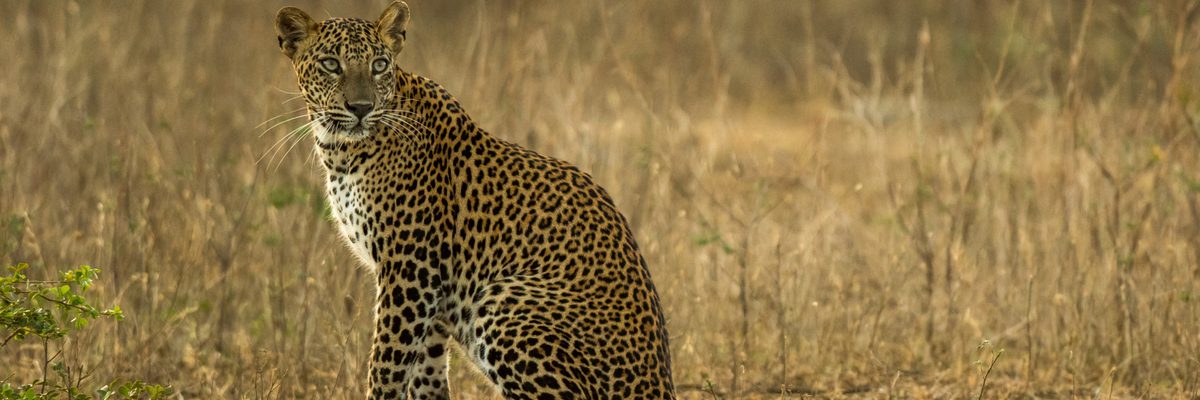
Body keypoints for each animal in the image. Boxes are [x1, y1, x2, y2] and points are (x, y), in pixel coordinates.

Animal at [274, 2, 675, 398]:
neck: (341, 149)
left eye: (379, 64)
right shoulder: (429, 290)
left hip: (502, 298)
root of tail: (657, 385)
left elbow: (387, 363)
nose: (361, 107)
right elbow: (425, 371)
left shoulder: (409, 268)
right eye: (330, 64)